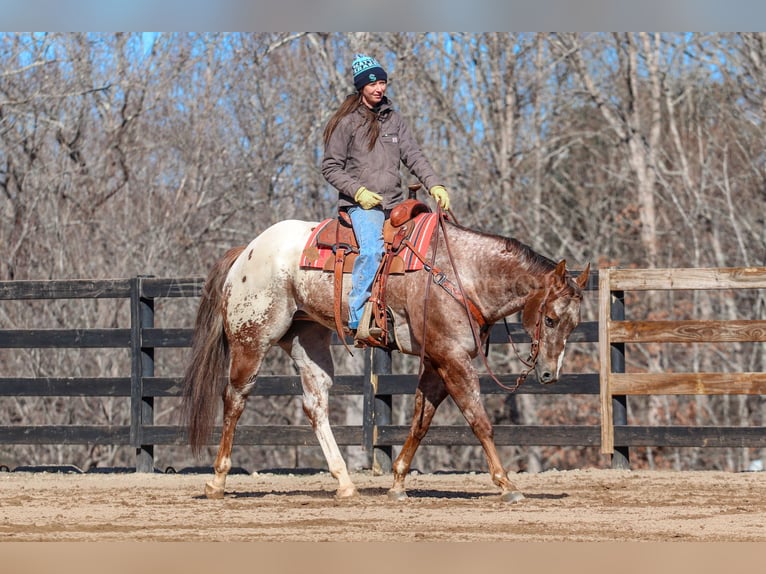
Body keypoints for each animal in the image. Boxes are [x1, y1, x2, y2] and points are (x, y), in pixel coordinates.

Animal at [183, 215, 592, 504]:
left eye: (574, 323)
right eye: (550, 319)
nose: (549, 374)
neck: (461, 273)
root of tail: (246, 251)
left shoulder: (437, 361)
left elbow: (420, 421)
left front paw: (397, 481)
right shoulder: (453, 358)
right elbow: (479, 421)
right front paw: (506, 484)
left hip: (307, 341)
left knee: (316, 405)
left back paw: (345, 483)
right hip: (251, 340)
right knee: (235, 399)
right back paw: (217, 480)